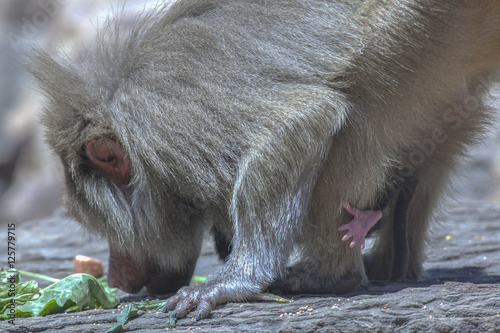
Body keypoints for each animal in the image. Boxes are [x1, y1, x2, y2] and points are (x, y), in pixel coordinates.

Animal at [29, 0, 498, 320]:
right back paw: (392, 265)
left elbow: (302, 120)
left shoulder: (173, 129)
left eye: (108, 232)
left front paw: (236, 281)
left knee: (355, 115)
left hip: (411, 27)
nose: (115, 278)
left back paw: (330, 276)